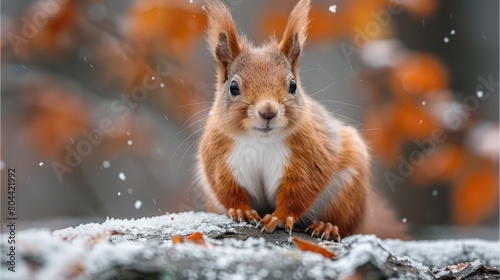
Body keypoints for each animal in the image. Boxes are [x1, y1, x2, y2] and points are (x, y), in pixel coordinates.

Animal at [196, 0, 398, 241]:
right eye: (233, 87)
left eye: (293, 85)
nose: (268, 111)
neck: (260, 140)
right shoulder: (220, 157)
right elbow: (227, 189)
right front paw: (241, 210)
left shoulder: (309, 155)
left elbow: (299, 192)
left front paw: (279, 218)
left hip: (348, 190)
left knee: (344, 223)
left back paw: (326, 226)